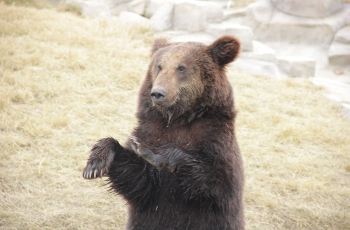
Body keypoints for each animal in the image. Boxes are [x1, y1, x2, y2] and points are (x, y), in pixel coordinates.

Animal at [83, 36, 245, 230]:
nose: (158, 93)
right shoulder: (150, 131)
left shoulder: (215, 139)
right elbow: (140, 181)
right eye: (159, 66)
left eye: (181, 67)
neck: (177, 119)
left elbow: (217, 182)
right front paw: (95, 164)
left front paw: (151, 153)